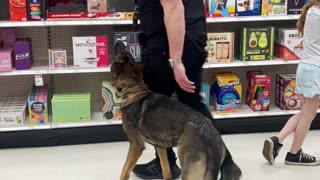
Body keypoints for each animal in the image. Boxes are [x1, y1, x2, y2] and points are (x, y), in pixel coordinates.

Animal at [111, 41, 241, 179]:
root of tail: (213, 137)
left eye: (121, 54)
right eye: (127, 53)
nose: (119, 42)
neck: (134, 89)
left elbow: (124, 171)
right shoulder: (160, 146)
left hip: (190, 171)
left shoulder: (136, 146)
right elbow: (166, 169)